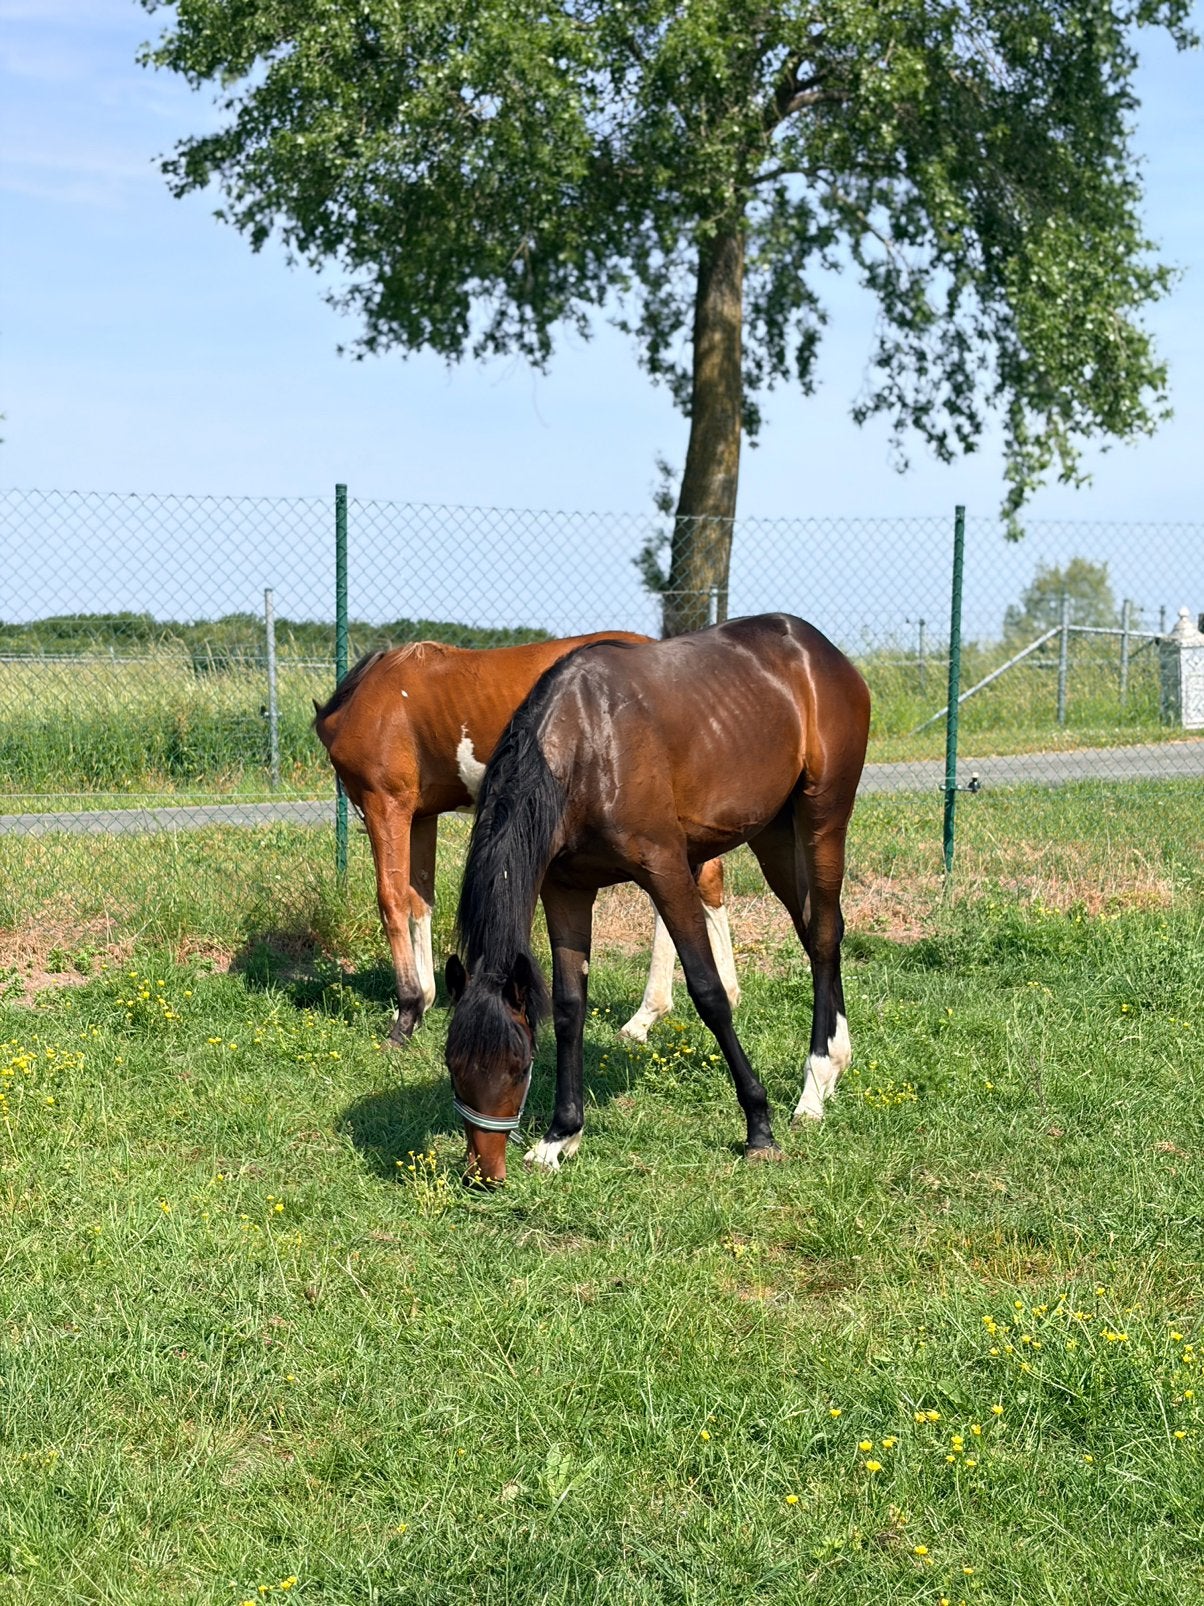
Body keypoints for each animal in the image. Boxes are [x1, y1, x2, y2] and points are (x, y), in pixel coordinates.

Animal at [313, 633, 740, 1043]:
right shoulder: (422, 815)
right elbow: (420, 899)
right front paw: (425, 1002)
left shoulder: (387, 806)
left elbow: (392, 900)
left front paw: (407, 1011)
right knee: (705, 881)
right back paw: (723, 993)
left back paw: (646, 1017)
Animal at [444, 613, 870, 1185]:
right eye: (453, 1065)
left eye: (517, 1065)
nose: (483, 1172)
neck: (586, 747)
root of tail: (818, 649)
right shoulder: (566, 891)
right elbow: (568, 1006)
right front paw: (560, 1136)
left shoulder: (667, 872)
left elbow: (710, 993)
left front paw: (759, 1127)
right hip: (775, 834)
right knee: (814, 930)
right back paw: (833, 1068)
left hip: (822, 817)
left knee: (823, 935)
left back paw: (814, 1085)